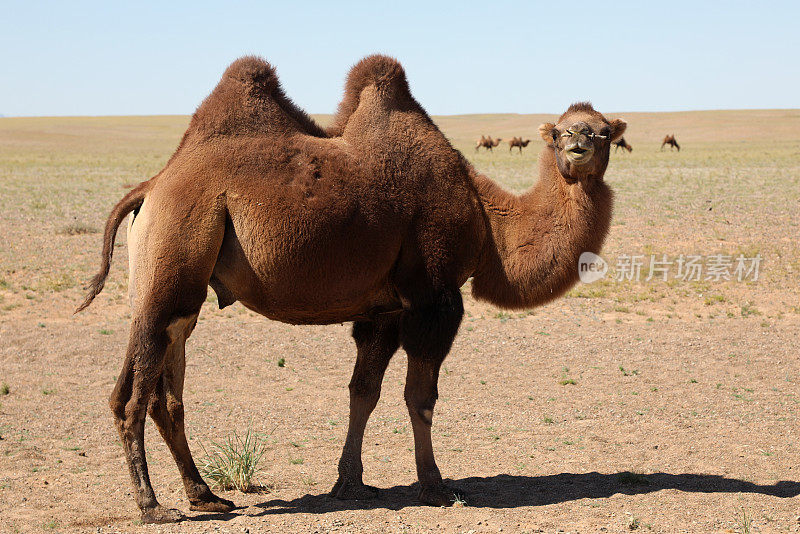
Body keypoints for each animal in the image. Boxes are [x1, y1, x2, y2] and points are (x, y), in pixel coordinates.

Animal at [76, 56, 624, 524]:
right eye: (562, 131)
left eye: (603, 132)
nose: (578, 144)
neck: (486, 218)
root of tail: (152, 187)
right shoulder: (435, 298)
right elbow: (420, 397)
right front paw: (435, 486)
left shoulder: (384, 310)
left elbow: (364, 392)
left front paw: (350, 483)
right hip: (176, 250)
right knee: (131, 396)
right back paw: (154, 507)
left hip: (175, 285)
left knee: (162, 391)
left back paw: (205, 495)